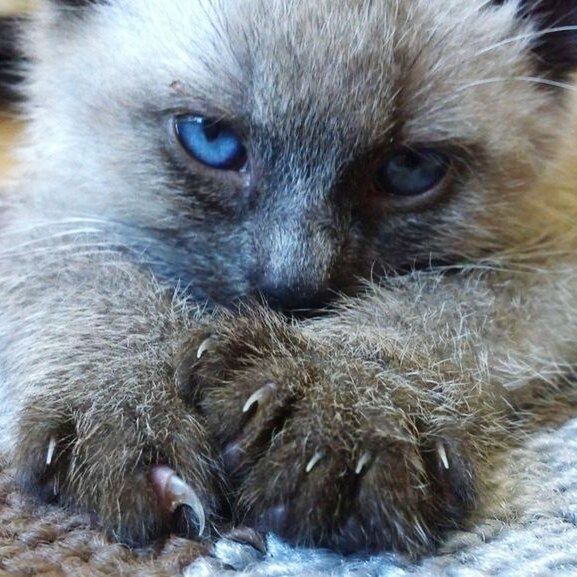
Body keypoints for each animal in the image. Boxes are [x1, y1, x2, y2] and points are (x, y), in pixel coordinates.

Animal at [1, 0, 576, 552]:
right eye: (211, 139)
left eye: (410, 169)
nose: (290, 288)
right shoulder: (52, 213)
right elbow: (98, 281)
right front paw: (135, 404)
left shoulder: (548, 251)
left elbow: (437, 302)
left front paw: (342, 398)